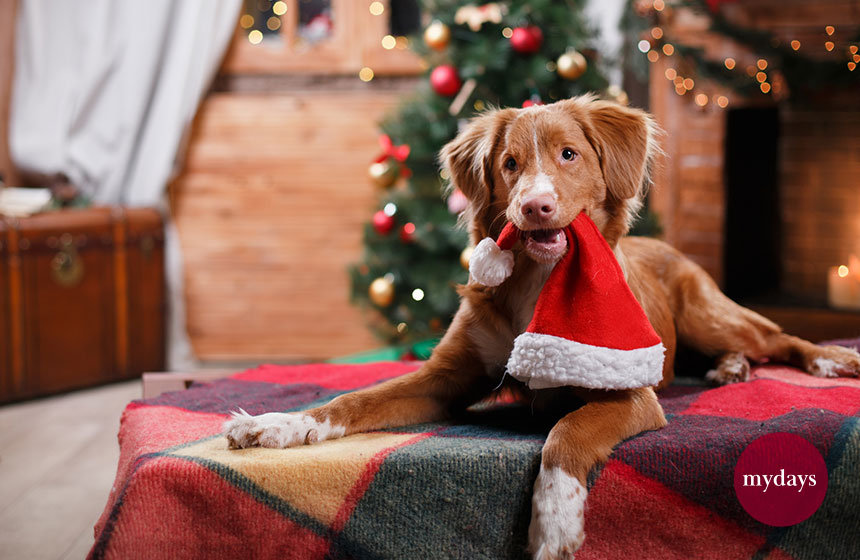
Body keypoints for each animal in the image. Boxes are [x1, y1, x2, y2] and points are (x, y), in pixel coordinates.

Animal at [223, 96, 860, 560]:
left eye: (569, 155)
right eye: (509, 165)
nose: (535, 207)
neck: (537, 282)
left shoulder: (630, 393)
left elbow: (565, 435)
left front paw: (555, 520)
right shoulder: (443, 379)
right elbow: (351, 400)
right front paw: (277, 426)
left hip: (710, 314)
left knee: (777, 338)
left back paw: (829, 360)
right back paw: (729, 371)